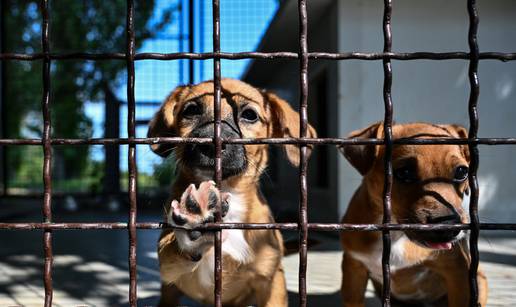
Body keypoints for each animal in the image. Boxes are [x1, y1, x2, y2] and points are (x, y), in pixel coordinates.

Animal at [147, 78, 316, 306]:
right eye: (191, 110)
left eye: (249, 115)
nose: (211, 146)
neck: (229, 193)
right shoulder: (168, 270)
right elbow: (172, 251)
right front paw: (196, 219)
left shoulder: (271, 281)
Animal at [338, 122, 488, 307]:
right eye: (404, 172)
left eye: (462, 172)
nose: (449, 226)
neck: (397, 236)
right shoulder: (354, 268)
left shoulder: (457, 272)